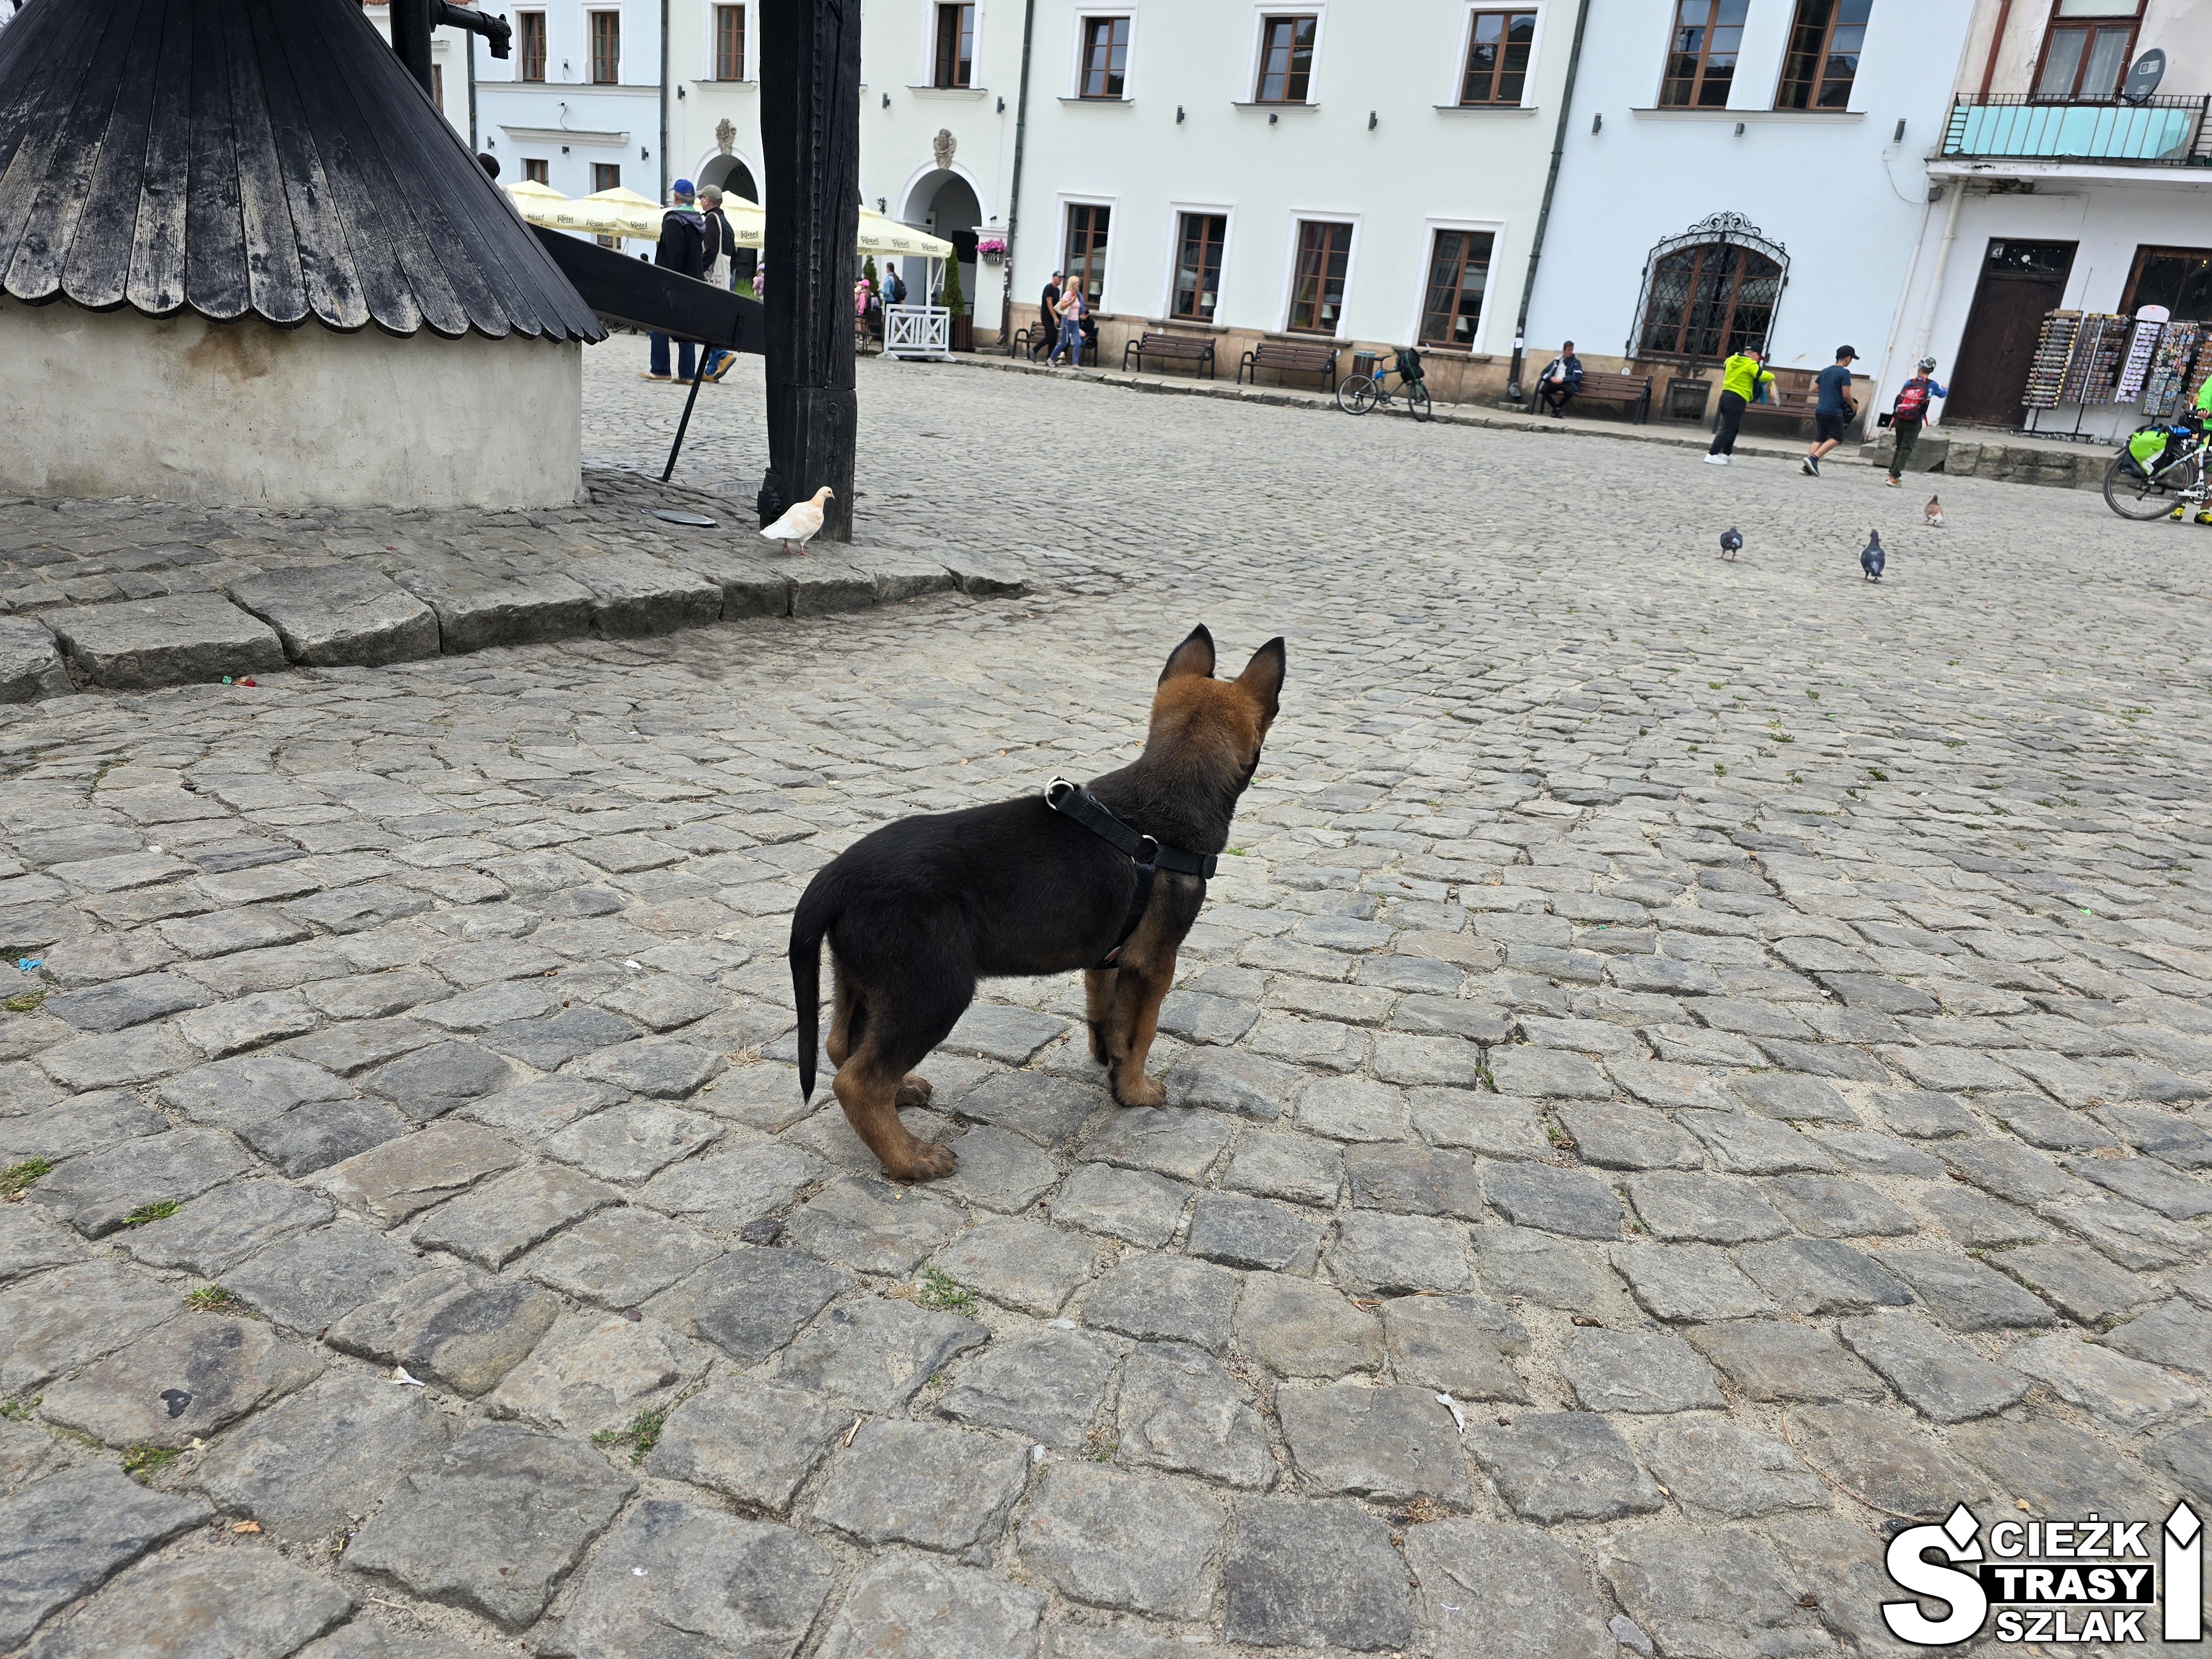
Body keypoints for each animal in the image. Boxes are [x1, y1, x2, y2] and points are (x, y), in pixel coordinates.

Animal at [792, 624, 1283, 1186]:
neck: (1168, 790)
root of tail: (834, 878)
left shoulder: (1107, 958)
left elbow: (1106, 1017)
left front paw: (1107, 1063)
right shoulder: (1154, 962)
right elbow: (1141, 1032)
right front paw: (1136, 1091)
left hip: (862, 980)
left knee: (841, 1048)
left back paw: (904, 1094)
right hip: (931, 992)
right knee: (857, 1082)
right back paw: (911, 1158)